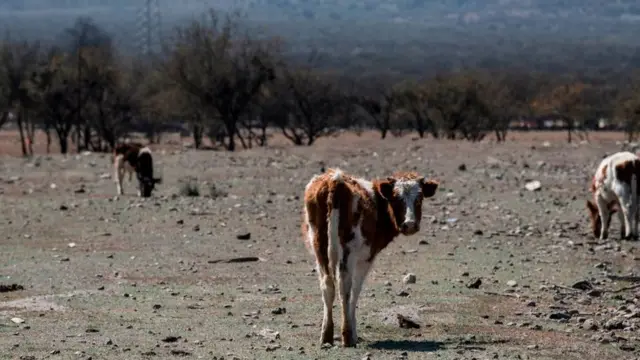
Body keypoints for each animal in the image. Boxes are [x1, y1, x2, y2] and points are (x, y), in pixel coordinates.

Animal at [302, 167, 438, 348]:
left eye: (420, 197)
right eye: (396, 197)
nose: (409, 225)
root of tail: (335, 180)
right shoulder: (366, 258)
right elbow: (355, 292)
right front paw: (353, 332)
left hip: (319, 247)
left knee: (327, 285)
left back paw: (326, 335)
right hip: (348, 253)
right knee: (344, 287)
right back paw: (347, 336)